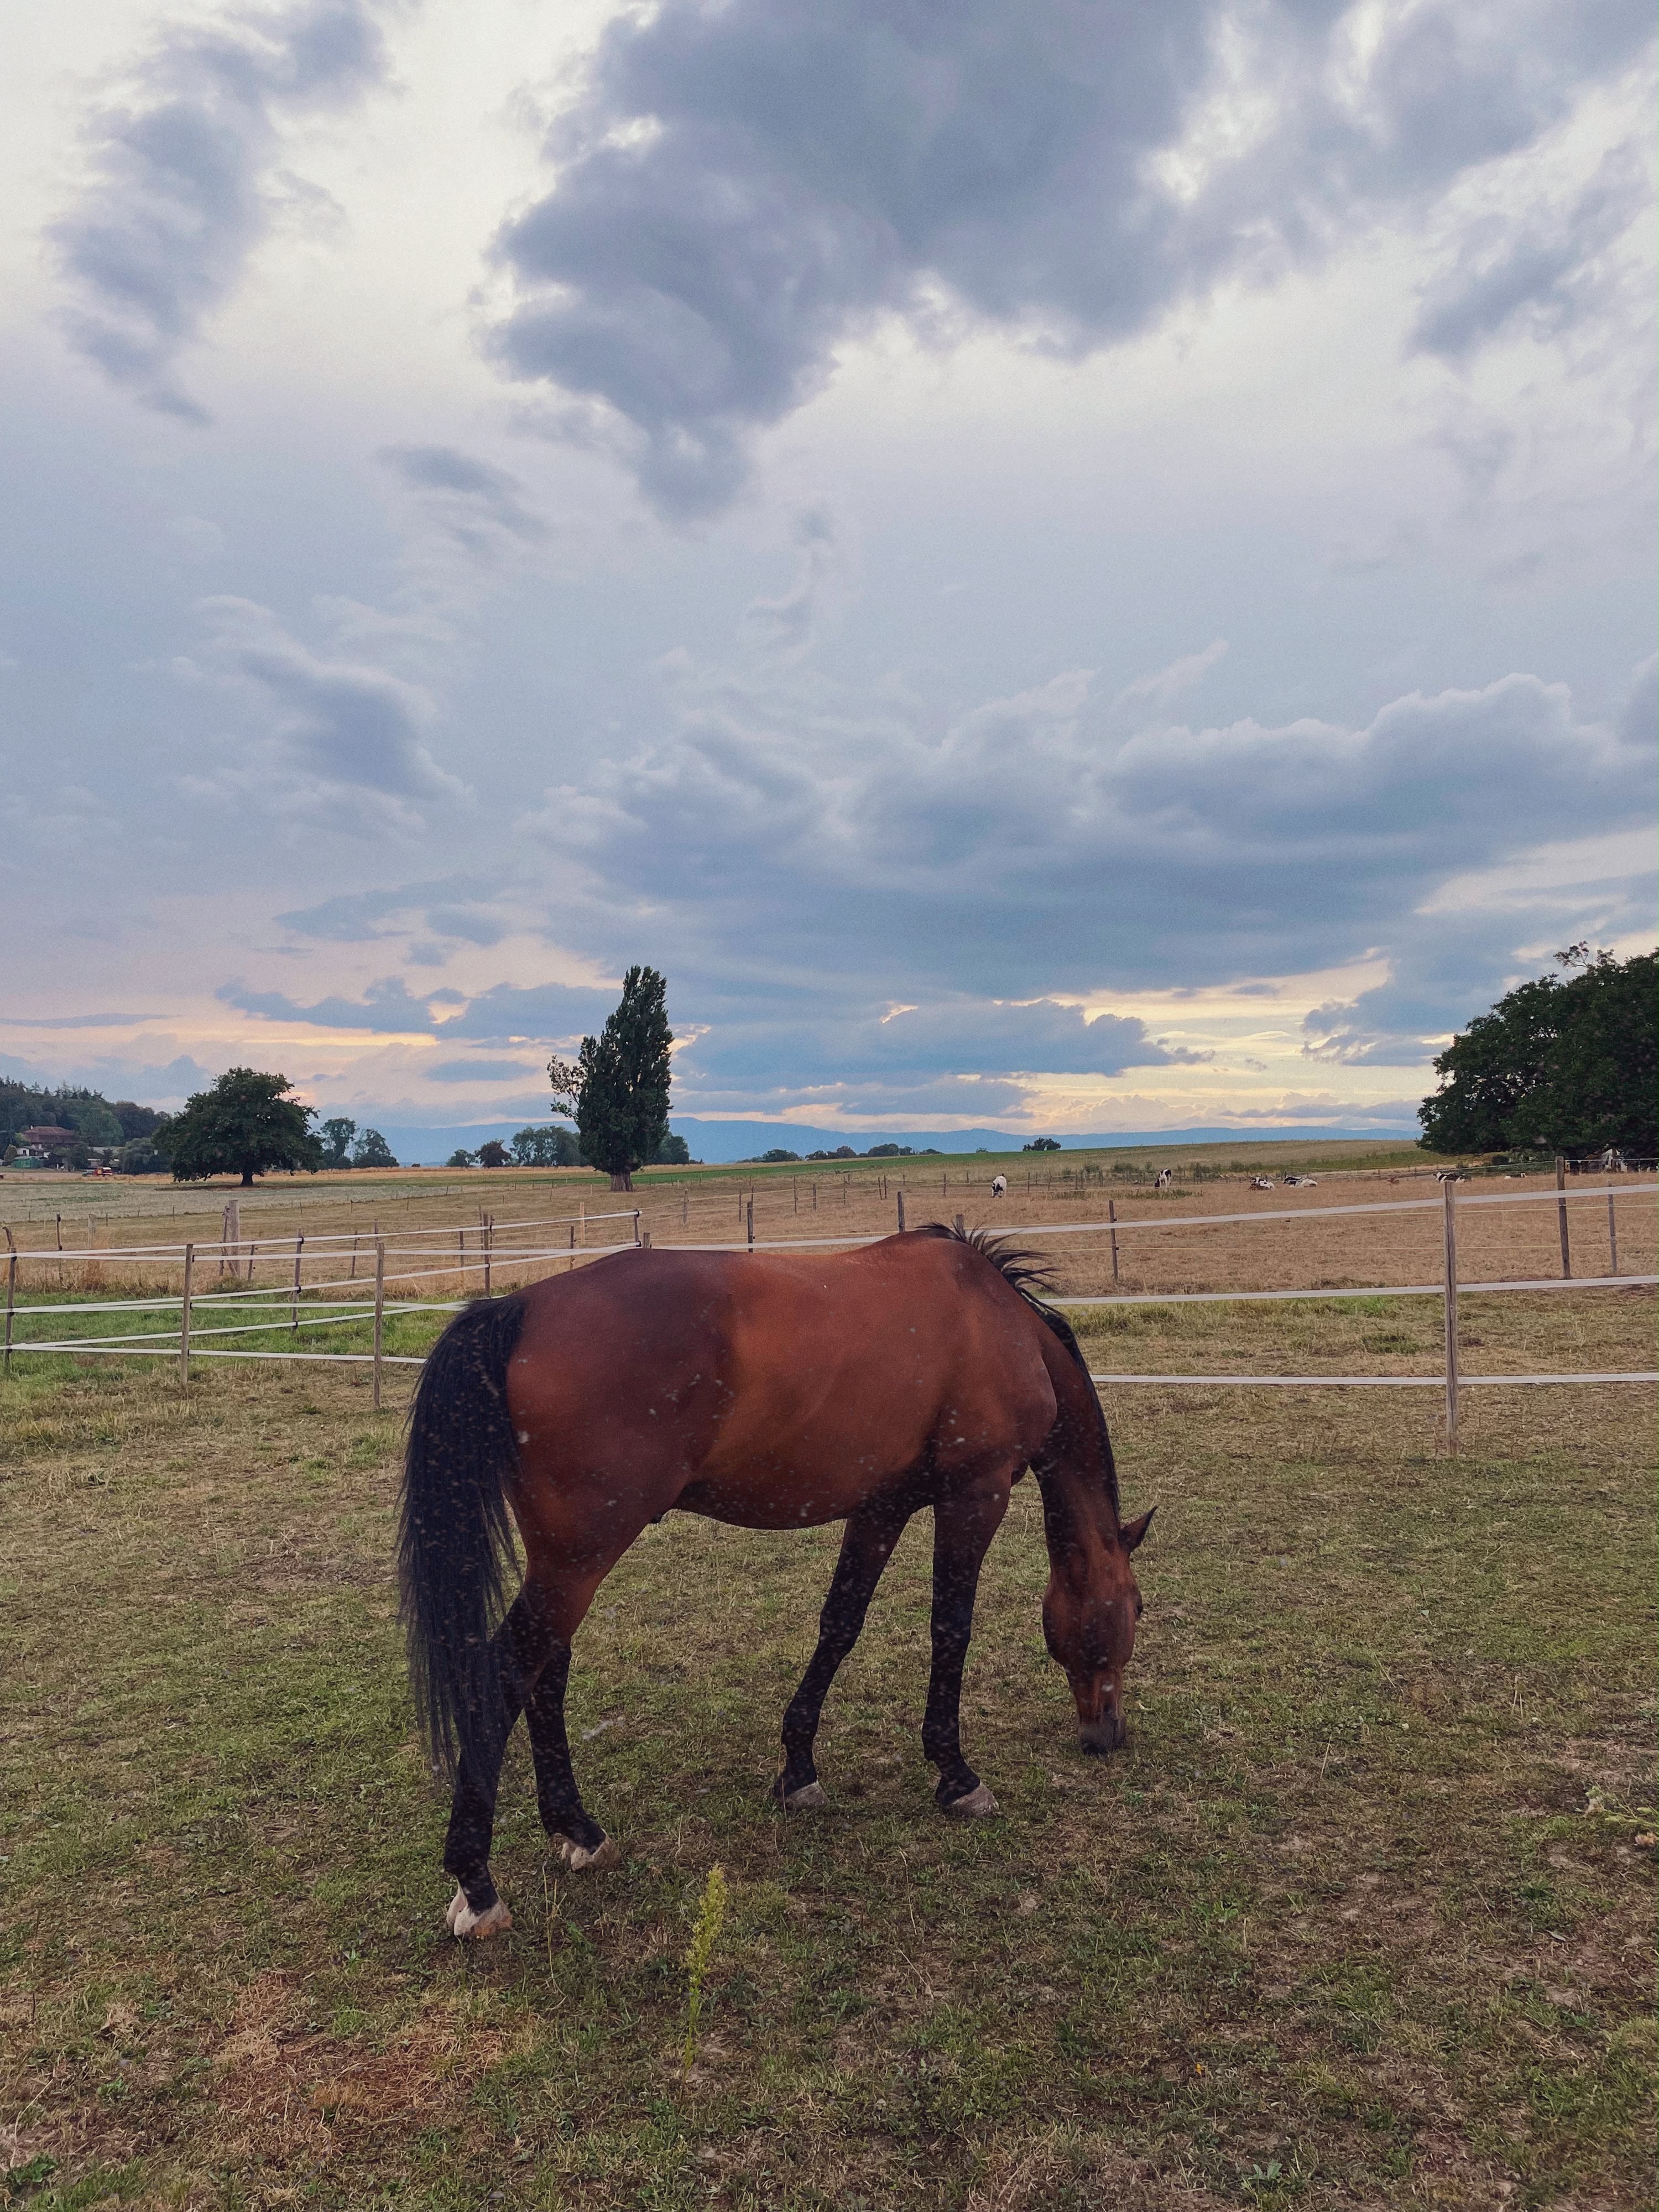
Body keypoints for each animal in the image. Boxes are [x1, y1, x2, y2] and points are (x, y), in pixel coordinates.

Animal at [398, 1224, 1154, 1939]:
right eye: (1138, 1607)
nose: (1108, 1732)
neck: (995, 1320)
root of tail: (520, 1307)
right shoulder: (976, 1495)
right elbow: (951, 1630)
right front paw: (956, 1775)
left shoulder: (880, 1507)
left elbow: (840, 1623)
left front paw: (798, 1769)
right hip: (580, 1558)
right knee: (507, 1673)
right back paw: (478, 1885)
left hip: (566, 1564)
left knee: (546, 1674)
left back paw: (580, 1832)